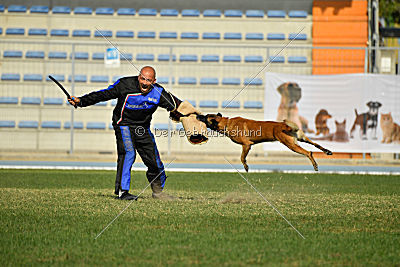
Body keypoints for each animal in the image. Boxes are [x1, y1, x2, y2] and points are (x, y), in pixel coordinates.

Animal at [197, 113, 332, 172]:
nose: (197, 115)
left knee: (309, 152)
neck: (226, 123)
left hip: (291, 145)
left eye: (205, 117)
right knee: (316, 145)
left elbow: (242, 158)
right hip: (302, 139)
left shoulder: (246, 145)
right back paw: (327, 151)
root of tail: (286, 125)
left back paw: (315, 165)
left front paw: (246, 167)